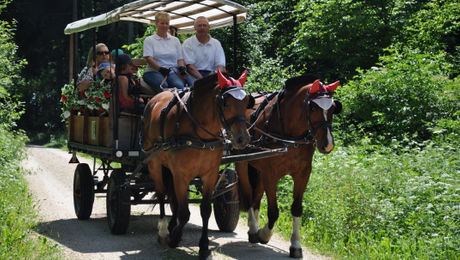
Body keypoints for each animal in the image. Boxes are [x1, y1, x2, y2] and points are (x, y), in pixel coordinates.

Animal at [144, 70, 252, 258]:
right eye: (226, 102)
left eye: (246, 101)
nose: (242, 139)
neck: (200, 135)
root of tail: (154, 99)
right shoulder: (181, 175)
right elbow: (184, 212)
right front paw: (174, 238)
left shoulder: (210, 175)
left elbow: (205, 210)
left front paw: (203, 246)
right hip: (154, 162)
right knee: (162, 194)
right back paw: (164, 230)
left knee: (172, 198)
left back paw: (171, 226)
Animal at [237, 75, 342, 258]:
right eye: (313, 107)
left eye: (333, 108)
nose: (327, 145)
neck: (290, 135)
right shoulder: (270, 174)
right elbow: (273, 212)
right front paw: (264, 234)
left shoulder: (303, 173)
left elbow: (297, 208)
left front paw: (295, 245)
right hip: (243, 163)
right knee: (249, 195)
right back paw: (254, 229)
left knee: (256, 198)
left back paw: (253, 226)